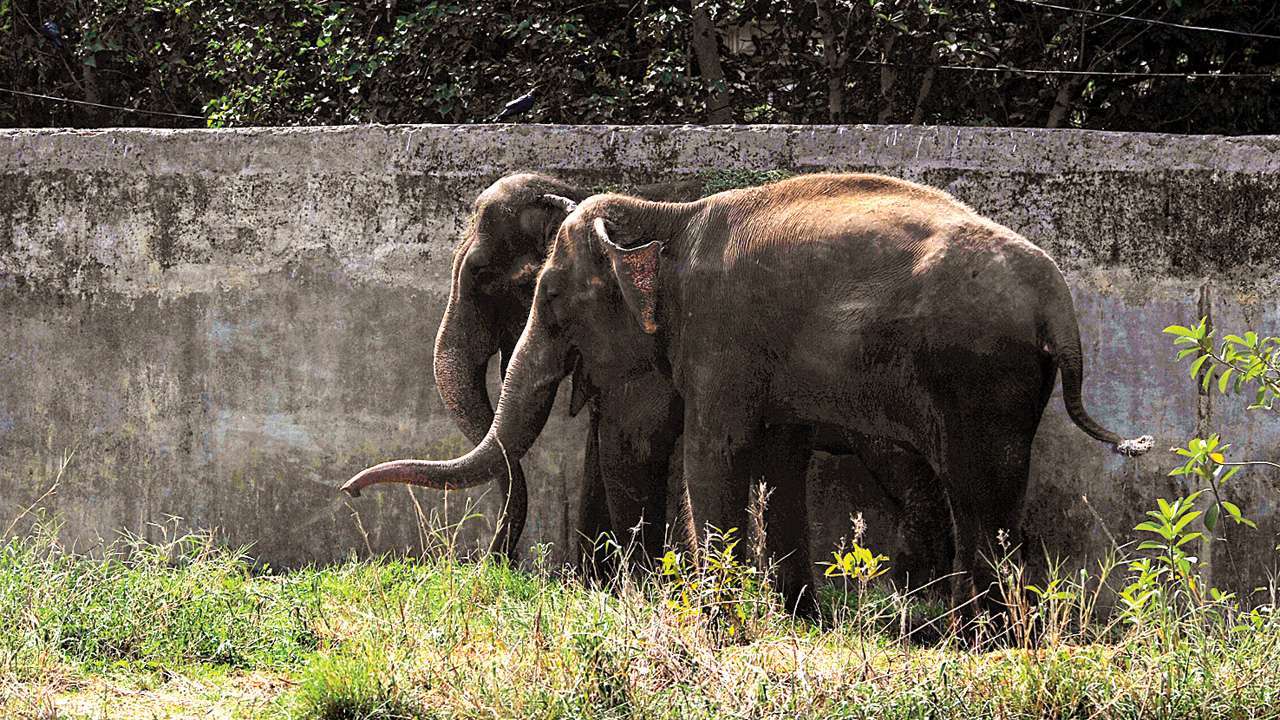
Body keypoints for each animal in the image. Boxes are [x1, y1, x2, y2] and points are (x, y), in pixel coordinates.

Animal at [340, 172, 1152, 609]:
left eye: (552, 302)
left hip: (978, 375)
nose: (494, 566)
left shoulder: (717, 339)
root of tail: (1060, 307)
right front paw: (794, 622)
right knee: (983, 498)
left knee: (974, 494)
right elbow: (774, 467)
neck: (665, 213)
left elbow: (703, 457)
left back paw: (960, 634)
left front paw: (693, 612)